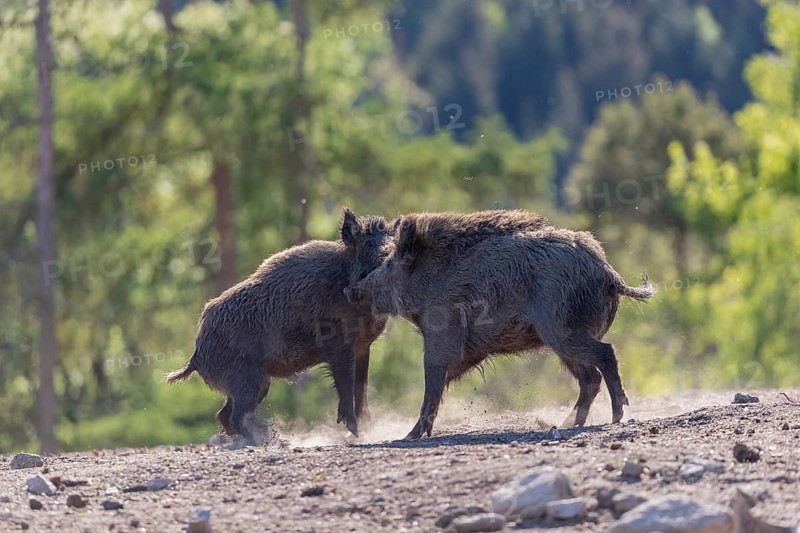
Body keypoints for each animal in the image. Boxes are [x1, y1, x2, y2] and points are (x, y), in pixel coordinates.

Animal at [166, 208, 396, 444]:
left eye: (393, 238)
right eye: (369, 243)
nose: (390, 252)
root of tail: (196, 354)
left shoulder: (363, 346)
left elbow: (362, 387)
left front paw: (366, 428)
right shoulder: (338, 345)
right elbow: (346, 384)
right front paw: (355, 430)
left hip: (258, 383)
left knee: (225, 415)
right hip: (245, 379)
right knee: (236, 416)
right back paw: (268, 441)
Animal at [345, 211, 655, 439]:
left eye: (389, 264)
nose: (351, 290)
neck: (428, 280)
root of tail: (608, 272)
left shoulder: (441, 334)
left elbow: (432, 381)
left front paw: (410, 436)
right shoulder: (470, 349)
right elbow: (443, 381)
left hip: (562, 331)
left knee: (606, 355)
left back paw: (616, 415)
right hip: (563, 339)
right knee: (590, 378)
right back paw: (566, 424)